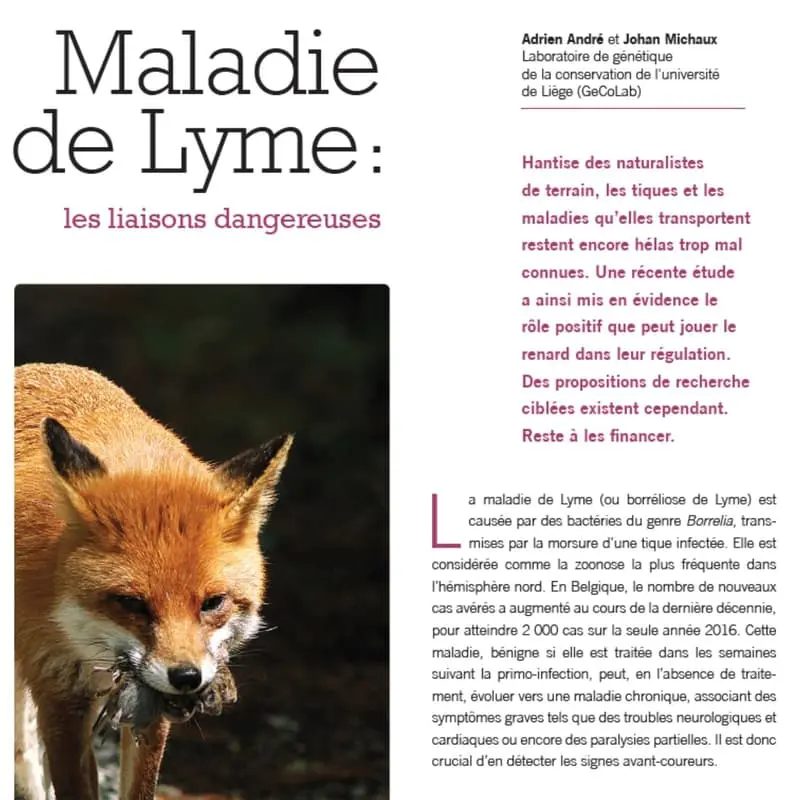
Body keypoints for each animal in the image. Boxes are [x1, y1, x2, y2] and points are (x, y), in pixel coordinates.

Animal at [15, 363, 293, 800]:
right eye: (131, 603)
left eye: (213, 603)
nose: (187, 678)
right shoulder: (59, 693)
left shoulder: (151, 704)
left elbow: (141, 786)